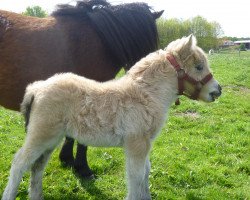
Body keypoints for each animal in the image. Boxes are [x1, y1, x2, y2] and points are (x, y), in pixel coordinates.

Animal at [1, 35, 221, 199]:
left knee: (37, 166)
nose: (217, 91)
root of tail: (36, 88)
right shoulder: (136, 144)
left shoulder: (146, 144)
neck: (146, 93)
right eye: (199, 66)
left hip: (51, 139)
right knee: (20, 162)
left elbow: (146, 173)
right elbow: (136, 176)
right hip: (41, 135)